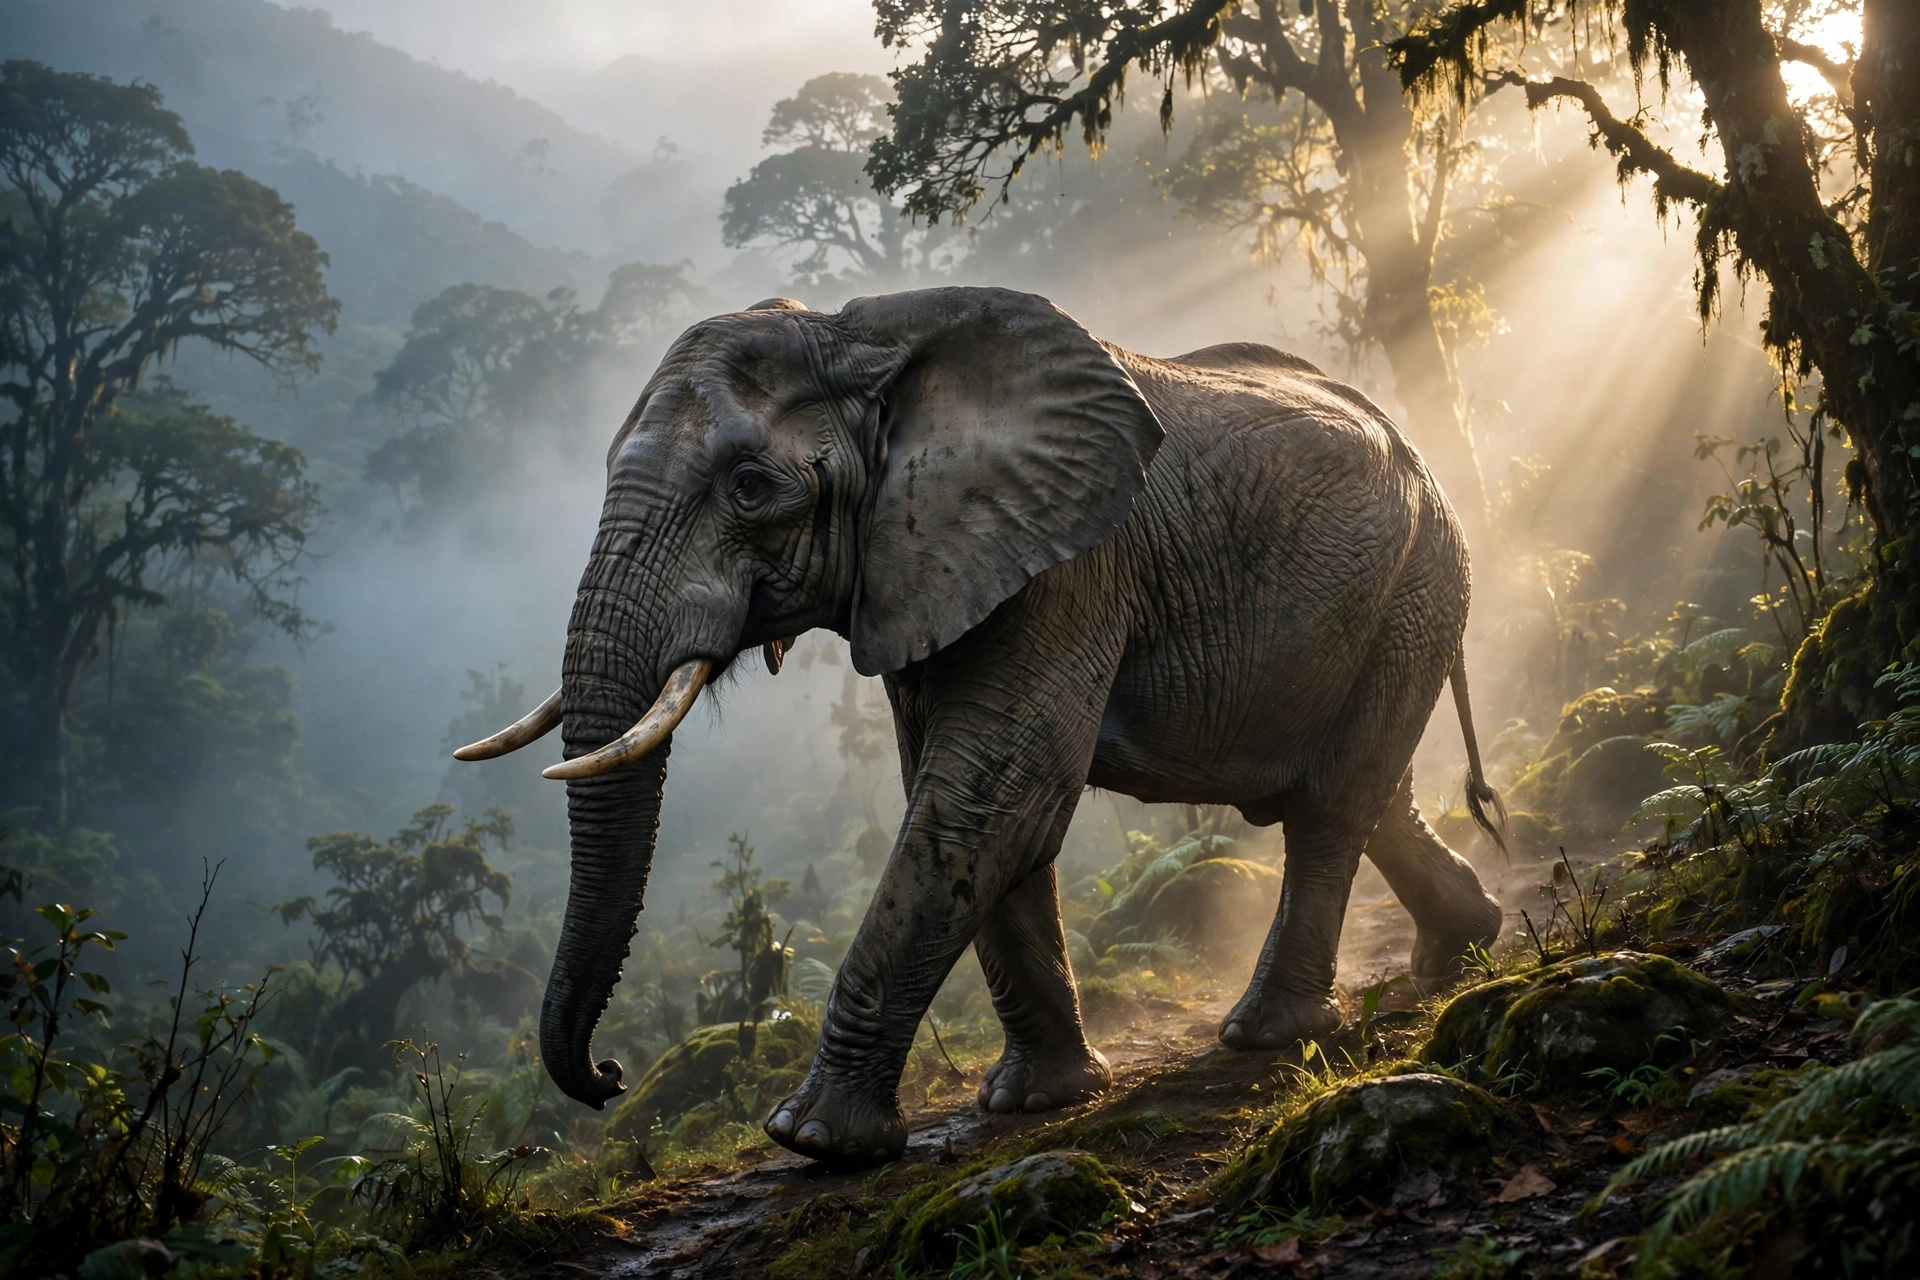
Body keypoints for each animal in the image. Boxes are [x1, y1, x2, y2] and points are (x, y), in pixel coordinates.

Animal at [455, 286, 1507, 1168]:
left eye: (750, 486)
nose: (609, 1078)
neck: (863, 336)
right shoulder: (931, 571)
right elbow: (978, 808)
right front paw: (1037, 1101)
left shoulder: (1068, 567)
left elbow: (994, 796)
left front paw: (813, 1141)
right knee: (1364, 793)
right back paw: (1464, 946)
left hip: (1421, 580)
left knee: (1330, 806)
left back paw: (1271, 1031)